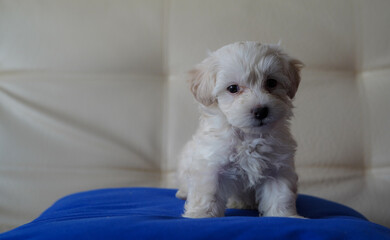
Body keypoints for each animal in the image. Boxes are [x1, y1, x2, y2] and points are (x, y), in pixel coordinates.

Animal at [175, 42, 304, 218]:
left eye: (271, 83)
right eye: (232, 88)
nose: (261, 111)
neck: (249, 136)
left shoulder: (278, 169)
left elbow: (280, 195)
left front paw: (284, 216)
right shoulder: (211, 164)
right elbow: (208, 193)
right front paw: (201, 215)